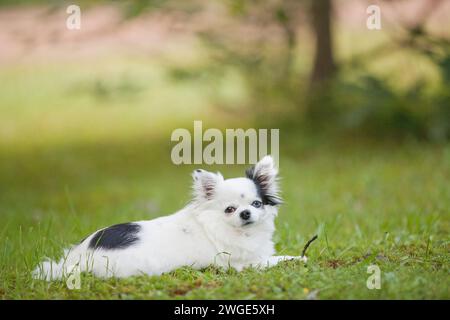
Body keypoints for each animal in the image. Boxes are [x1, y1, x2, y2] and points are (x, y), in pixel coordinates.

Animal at [31, 156, 306, 280]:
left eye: (256, 204)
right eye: (229, 209)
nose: (245, 213)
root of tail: (78, 257)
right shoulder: (244, 264)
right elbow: (275, 259)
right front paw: (298, 257)